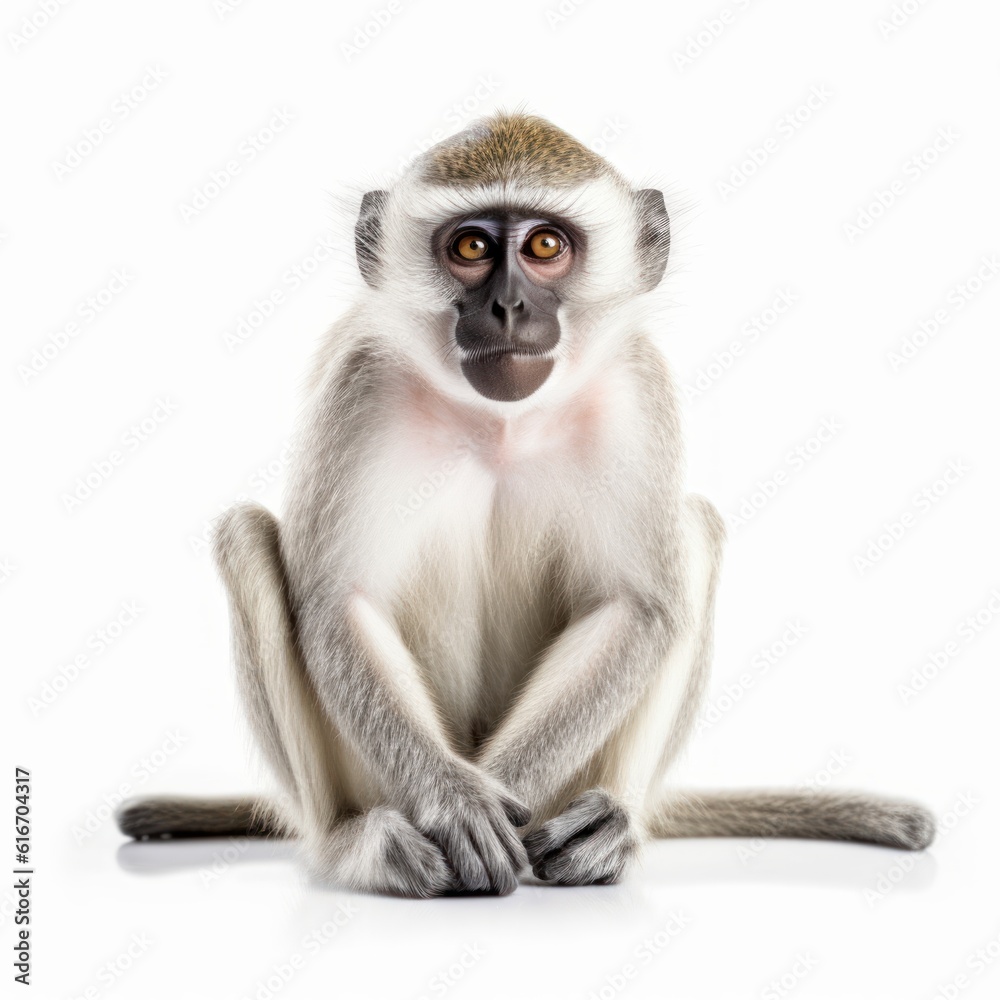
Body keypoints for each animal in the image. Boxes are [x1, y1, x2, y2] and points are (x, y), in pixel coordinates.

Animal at [116, 111, 934, 897]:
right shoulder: (361, 382)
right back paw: (355, 845)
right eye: (471, 246)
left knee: (692, 535)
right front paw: (458, 803)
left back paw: (611, 829)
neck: (501, 426)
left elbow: (637, 605)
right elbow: (338, 604)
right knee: (247, 538)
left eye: (544, 245)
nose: (508, 306)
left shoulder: (637, 387)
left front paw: (502, 795)